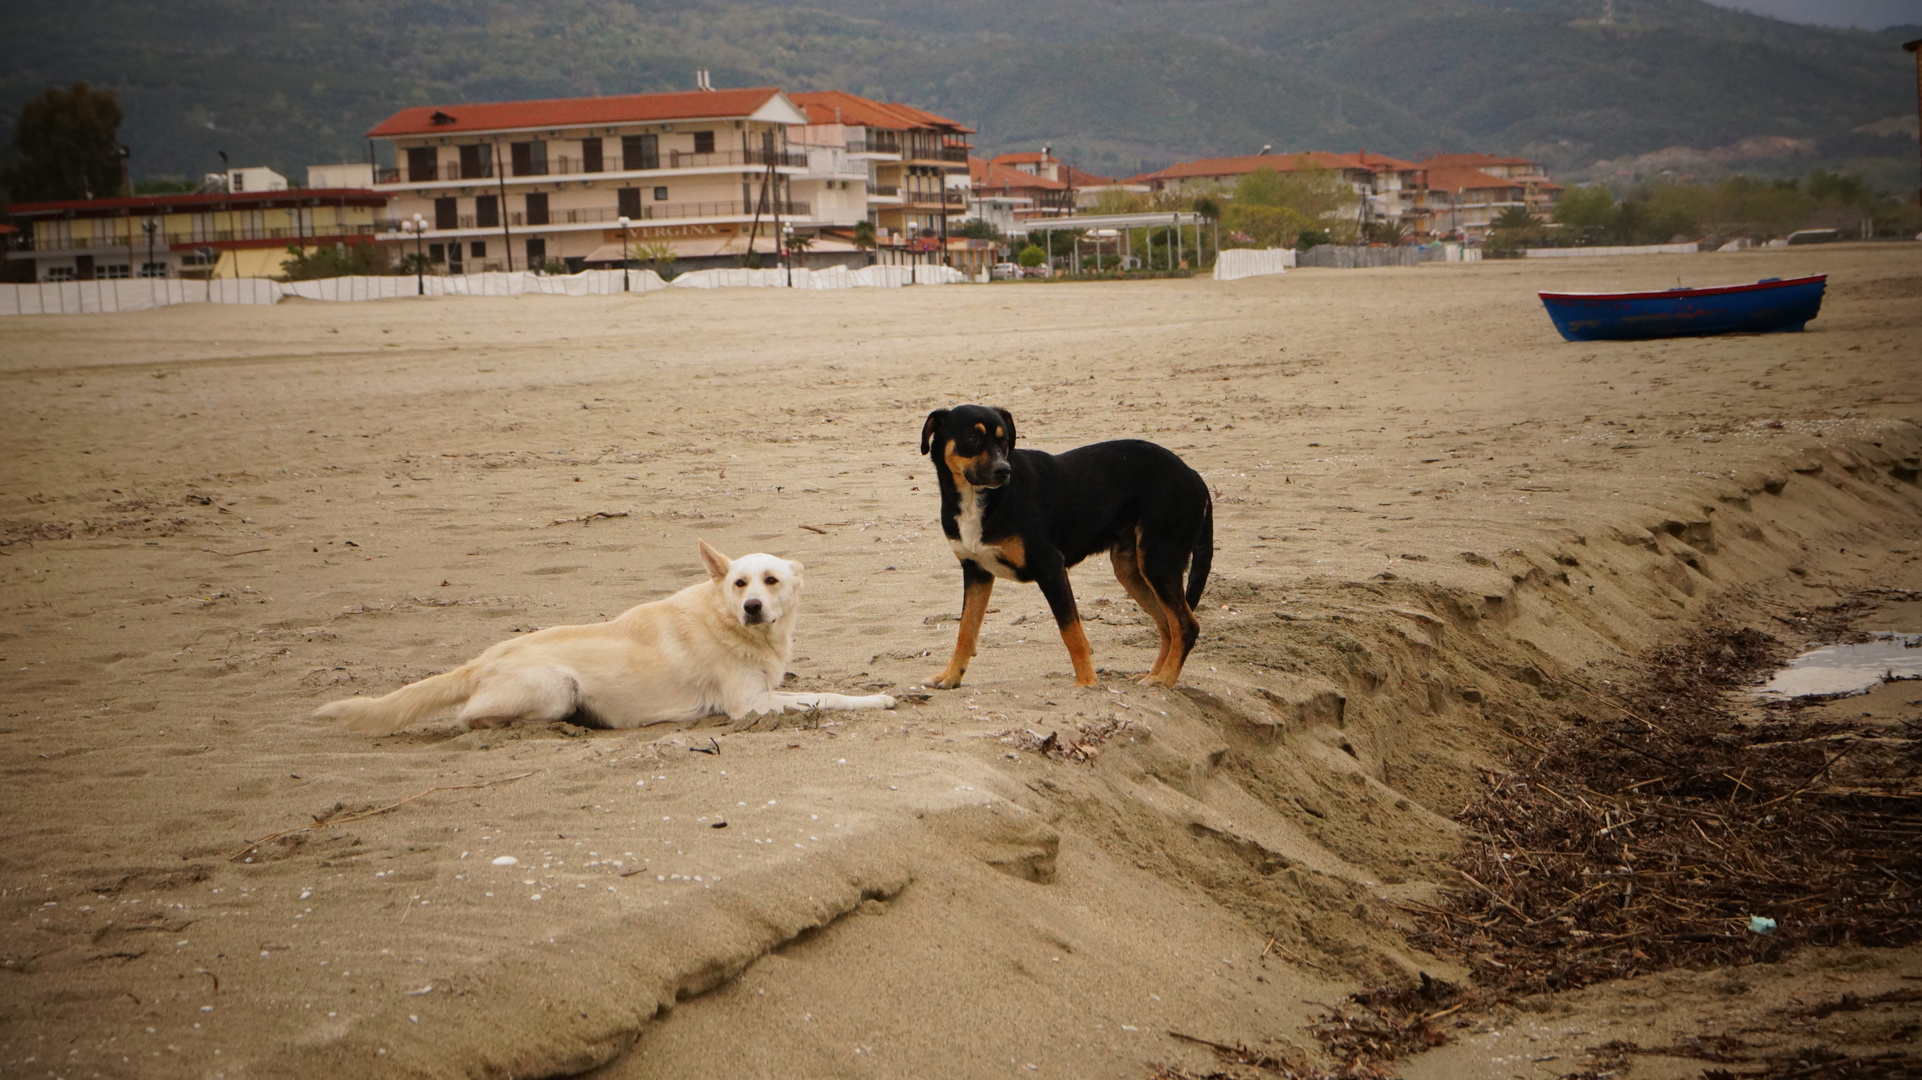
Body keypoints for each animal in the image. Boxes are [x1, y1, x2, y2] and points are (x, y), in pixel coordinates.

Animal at [311, 538, 895, 730]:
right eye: (739, 583)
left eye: (771, 581)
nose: (753, 607)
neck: (728, 622)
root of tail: (481, 660)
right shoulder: (750, 705)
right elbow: (825, 696)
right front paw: (878, 700)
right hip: (556, 688)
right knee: (469, 718)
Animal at [918, 403, 1214, 687]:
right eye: (972, 438)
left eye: (1003, 442)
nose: (1004, 471)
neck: (980, 499)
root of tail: (1194, 475)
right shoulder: (976, 572)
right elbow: (965, 632)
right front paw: (950, 677)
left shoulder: (1050, 568)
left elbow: (1072, 633)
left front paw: (1086, 684)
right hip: (1131, 569)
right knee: (1167, 625)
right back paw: (1154, 676)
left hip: (1158, 560)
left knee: (1185, 626)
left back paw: (1165, 680)